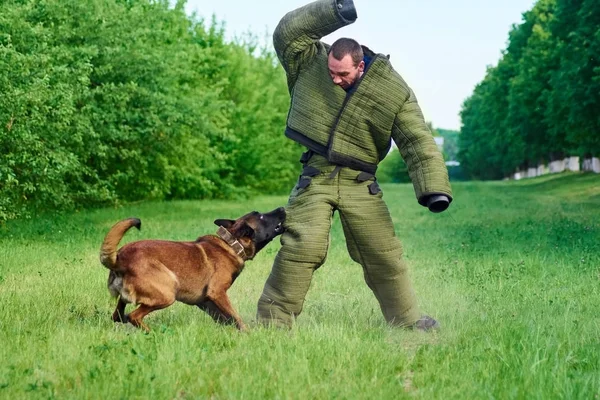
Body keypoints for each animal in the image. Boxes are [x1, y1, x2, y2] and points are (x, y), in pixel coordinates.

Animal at [98, 206, 286, 332]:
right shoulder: (217, 293)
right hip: (167, 293)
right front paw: (248, 333)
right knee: (133, 316)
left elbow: (227, 319)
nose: (282, 207)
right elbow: (236, 317)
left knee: (118, 315)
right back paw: (153, 333)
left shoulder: (206, 301)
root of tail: (119, 259)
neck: (231, 244)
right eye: (261, 216)